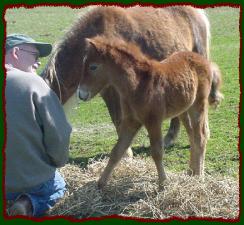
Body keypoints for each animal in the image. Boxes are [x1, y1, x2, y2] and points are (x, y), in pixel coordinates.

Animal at [78, 37, 223, 190]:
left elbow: (157, 152)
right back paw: (191, 172)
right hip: (184, 110)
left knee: (201, 136)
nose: (81, 94)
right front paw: (100, 183)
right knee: (193, 136)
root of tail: (203, 59)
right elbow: (117, 151)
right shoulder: (131, 122)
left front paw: (163, 184)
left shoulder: (153, 121)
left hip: (198, 105)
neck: (138, 85)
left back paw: (199, 176)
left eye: (93, 67)